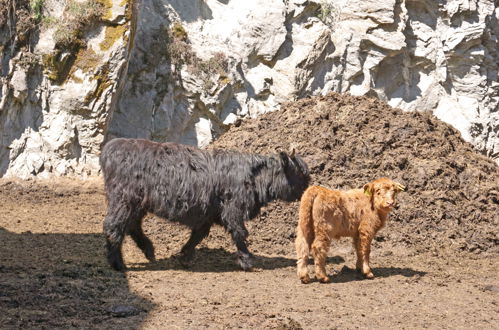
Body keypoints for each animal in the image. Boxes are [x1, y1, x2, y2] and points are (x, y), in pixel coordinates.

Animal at [100, 139, 310, 270]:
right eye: (300, 173)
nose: (308, 188)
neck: (254, 177)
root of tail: (112, 147)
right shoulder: (232, 209)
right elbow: (239, 233)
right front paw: (246, 261)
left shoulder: (208, 214)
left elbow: (198, 235)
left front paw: (184, 257)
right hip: (124, 199)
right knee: (114, 226)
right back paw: (118, 264)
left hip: (136, 204)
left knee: (132, 226)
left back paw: (149, 251)